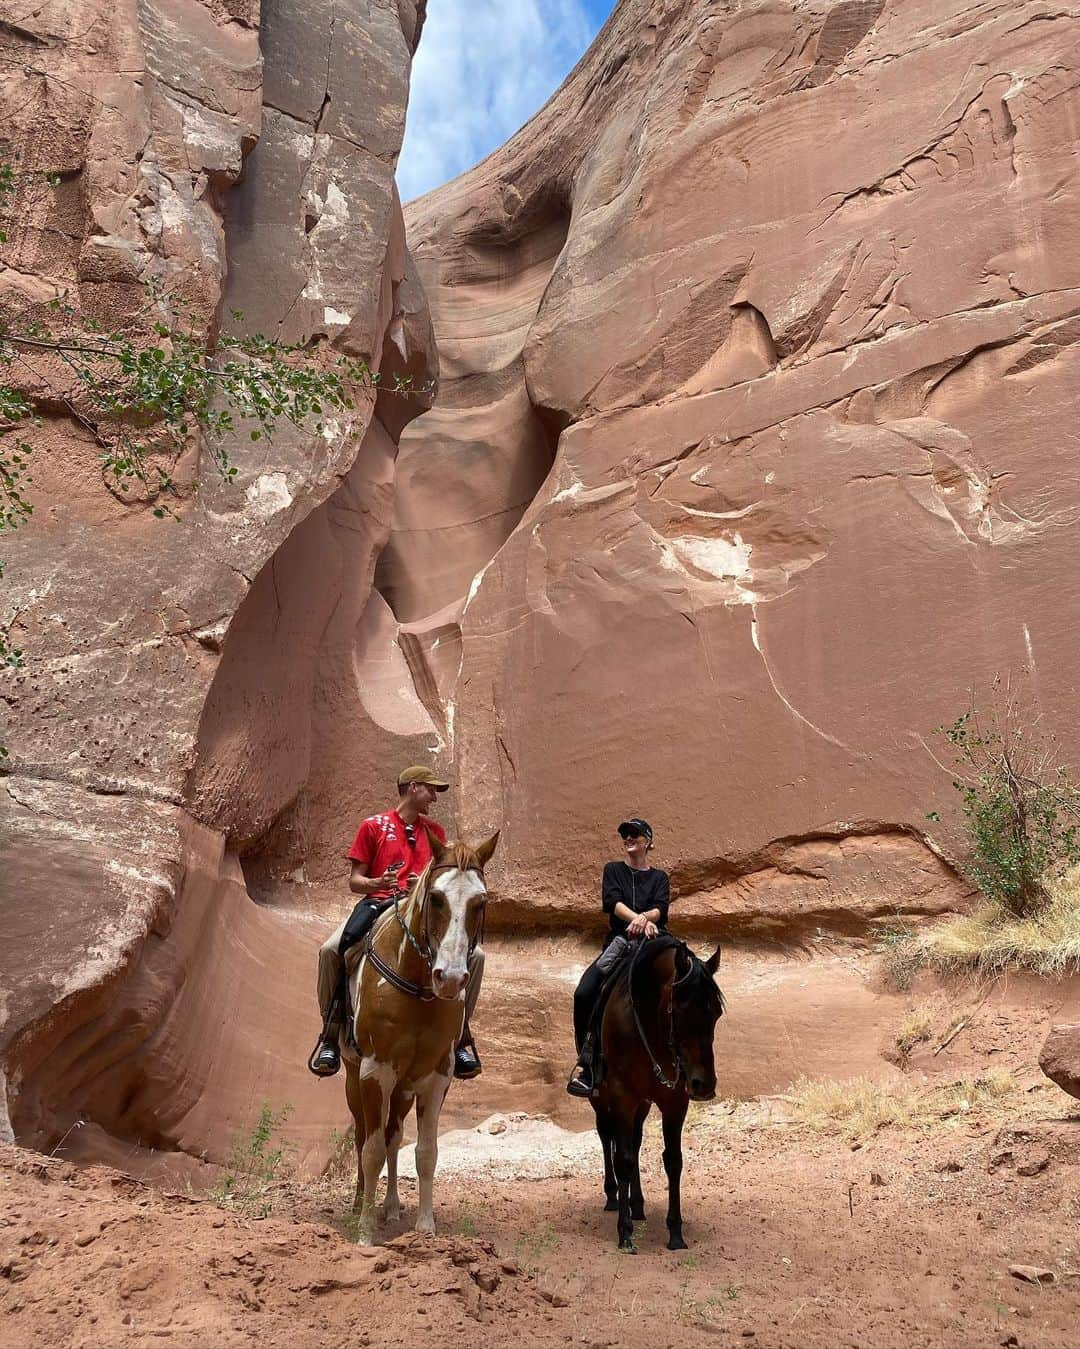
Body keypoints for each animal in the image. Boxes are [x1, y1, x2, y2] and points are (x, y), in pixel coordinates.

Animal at [343, 830, 498, 1241]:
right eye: (436, 897)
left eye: (480, 902)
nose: (451, 978)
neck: (417, 988)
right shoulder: (375, 1072)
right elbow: (371, 1151)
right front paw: (364, 1232)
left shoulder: (437, 1076)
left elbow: (426, 1152)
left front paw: (425, 1227)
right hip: (355, 1078)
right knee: (365, 1136)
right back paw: (359, 1206)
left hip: (404, 1087)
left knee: (394, 1135)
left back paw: (392, 1207)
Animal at [590, 938, 722, 1251]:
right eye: (681, 1010)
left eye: (716, 1013)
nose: (704, 1084)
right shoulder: (621, 1096)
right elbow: (623, 1159)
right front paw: (625, 1233)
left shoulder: (674, 1102)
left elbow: (673, 1161)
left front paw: (675, 1233)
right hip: (601, 1099)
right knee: (606, 1136)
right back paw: (614, 1197)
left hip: (643, 1104)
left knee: (635, 1141)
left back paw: (636, 1205)